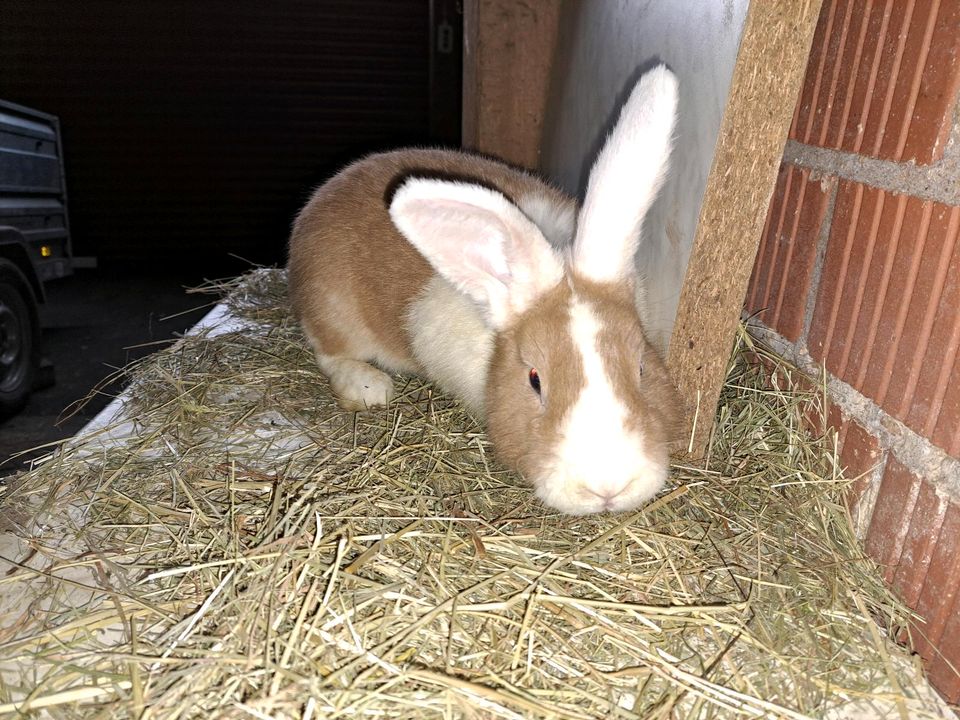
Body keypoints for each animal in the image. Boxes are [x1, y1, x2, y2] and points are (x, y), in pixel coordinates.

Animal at [286, 64, 684, 516]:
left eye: (641, 368)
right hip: (333, 310)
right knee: (328, 352)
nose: (607, 487)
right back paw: (368, 387)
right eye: (534, 380)